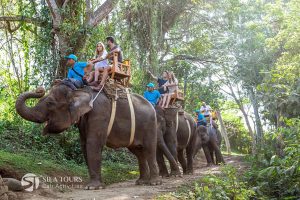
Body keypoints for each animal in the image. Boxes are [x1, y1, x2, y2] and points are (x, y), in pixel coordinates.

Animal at [15, 82, 162, 189]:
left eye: (50, 103)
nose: (40, 89)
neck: (78, 91)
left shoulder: (100, 113)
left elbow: (93, 143)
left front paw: (92, 187)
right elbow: (84, 145)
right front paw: (95, 185)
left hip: (150, 125)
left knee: (149, 149)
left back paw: (154, 182)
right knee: (138, 152)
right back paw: (141, 182)